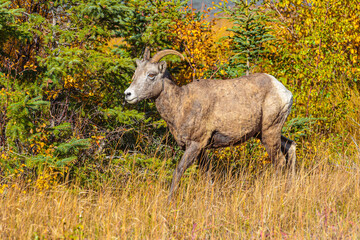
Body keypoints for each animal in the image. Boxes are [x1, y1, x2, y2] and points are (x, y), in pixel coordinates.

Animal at [124, 48, 296, 199]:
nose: (128, 94)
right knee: (291, 147)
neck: (180, 105)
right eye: (135, 74)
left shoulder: (195, 144)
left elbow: (179, 170)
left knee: (279, 161)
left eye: (151, 75)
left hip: (269, 133)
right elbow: (207, 176)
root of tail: (284, 91)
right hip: (263, 133)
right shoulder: (201, 150)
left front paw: (170, 201)